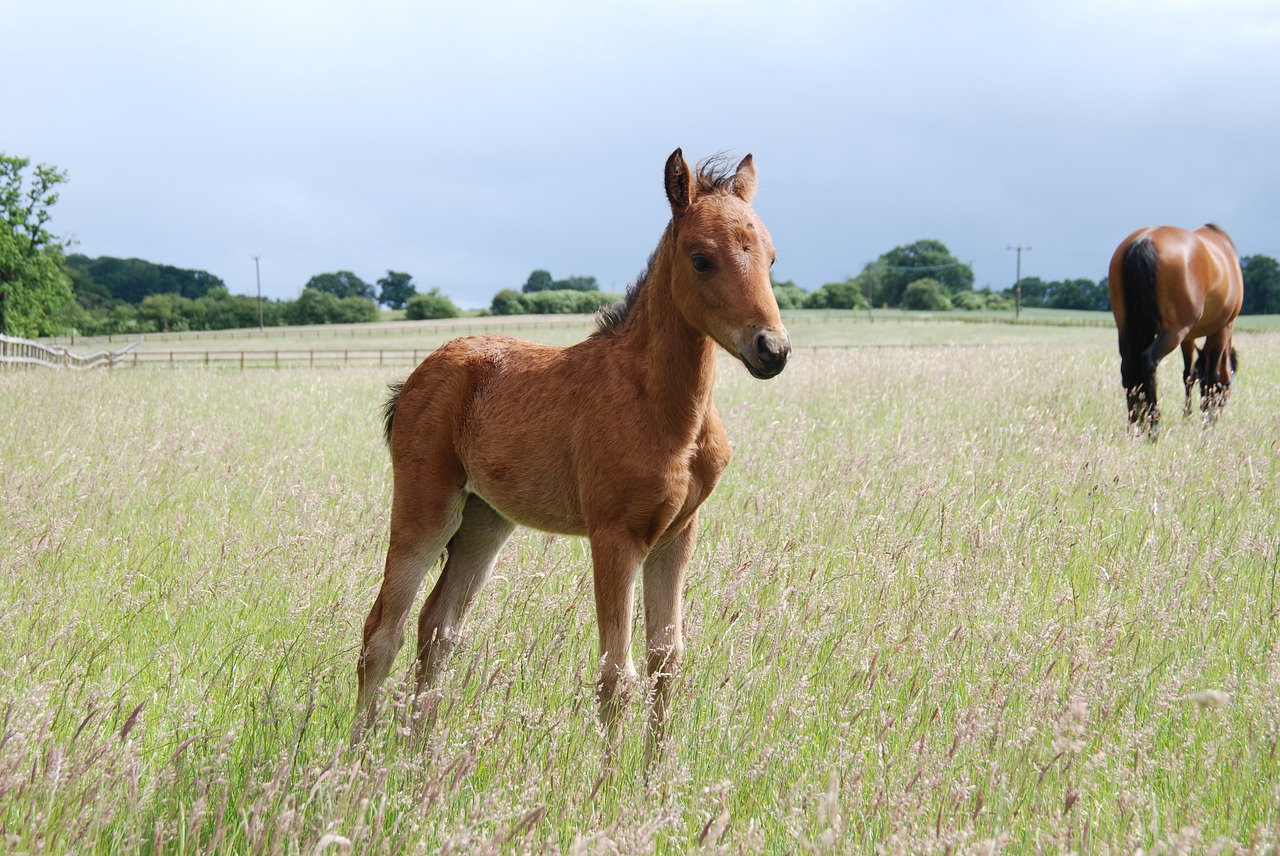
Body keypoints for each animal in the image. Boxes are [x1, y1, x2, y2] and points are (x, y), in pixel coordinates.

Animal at [350, 148, 788, 762]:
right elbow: (616, 673)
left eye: (771, 257)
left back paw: (420, 756)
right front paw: (607, 779)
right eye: (702, 259)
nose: (772, 349)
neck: (666, 408)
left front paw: (654, 775)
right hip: (427, 510)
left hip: (486, 521)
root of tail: (419, 374)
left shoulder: (677, 535)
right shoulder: (615, 536)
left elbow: (665, 661)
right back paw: (354, 760)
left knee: (438, 628)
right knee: (382, 631)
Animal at [1111, 223, 1239, 429]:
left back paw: (1134, 423)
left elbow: (1189, 374)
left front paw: (1187, 416)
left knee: (1128, 369)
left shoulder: (1189, 336)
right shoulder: (1223, 328)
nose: (1217, 410)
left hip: (1126, 330)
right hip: (1173, 333)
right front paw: (1207, 420)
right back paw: (1153, 424)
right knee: (1148, 360)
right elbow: (1212, 374)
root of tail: (1143, 241)